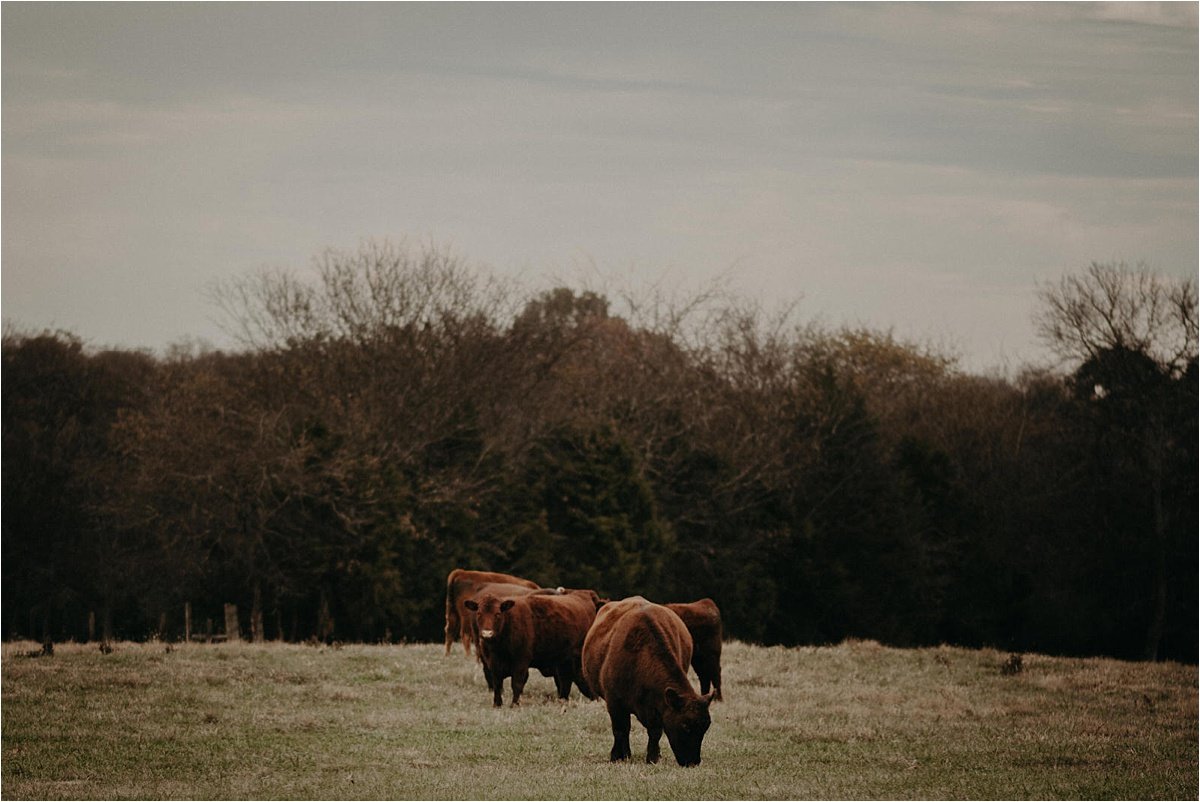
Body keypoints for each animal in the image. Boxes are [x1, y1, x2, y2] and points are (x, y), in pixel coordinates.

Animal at [465, 588, 604, 705]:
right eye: (479, 613)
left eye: (498, 614)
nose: (487, 633)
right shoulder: (492, 663)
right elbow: (497, 684)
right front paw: (497, 704)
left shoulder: (521, 662)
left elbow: (517, 683)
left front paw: (514, 704)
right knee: (566, 681)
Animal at [580, 597, 710, 768]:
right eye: (685, 726)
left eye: (705, 728)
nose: (693, 762)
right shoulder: (614, 702)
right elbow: (620, 730)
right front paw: (619, 756)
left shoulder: (658, 706)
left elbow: (655, 732)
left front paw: (653, 757)